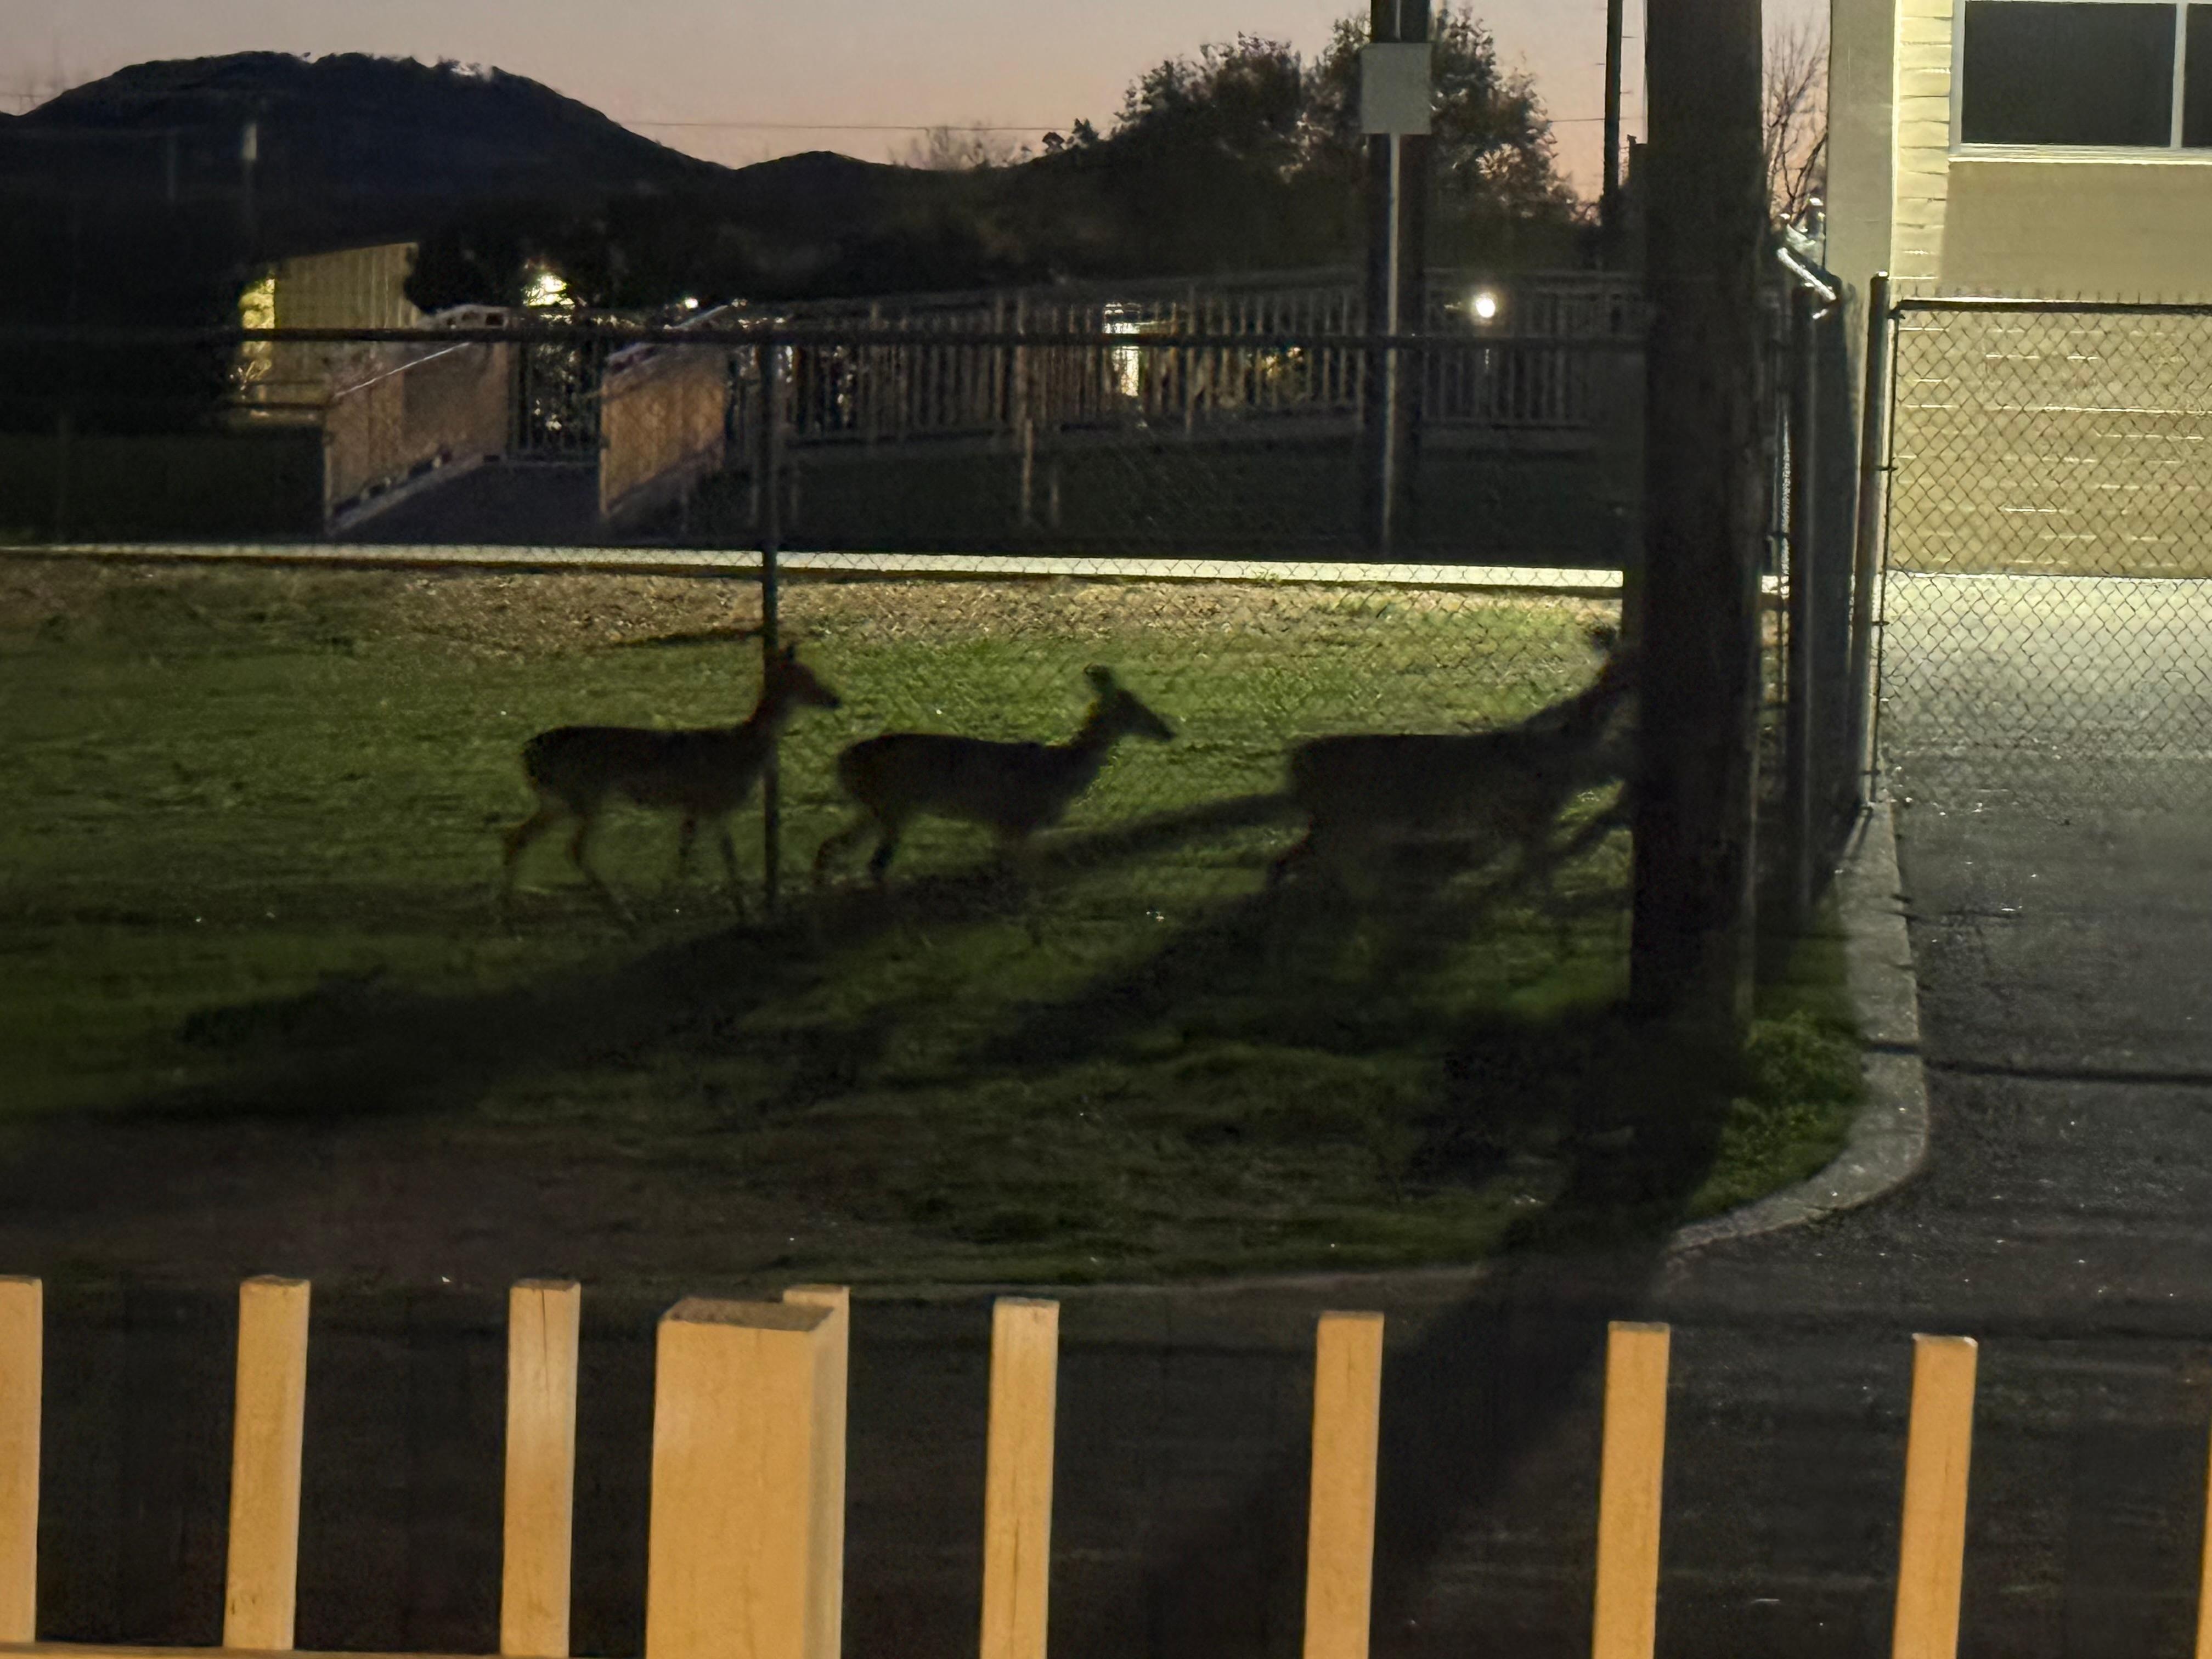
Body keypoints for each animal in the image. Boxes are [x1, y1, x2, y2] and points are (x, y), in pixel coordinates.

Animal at [499, 643, 843, 921]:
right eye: (805, 676)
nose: (835, 699)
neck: (743, 747)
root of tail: (527, 754)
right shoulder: (714, 802)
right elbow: (724, 858)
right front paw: (744, 913)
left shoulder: (695, 807)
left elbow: (686, 855)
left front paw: (672, 901)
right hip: (587, 793)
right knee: (573, 847)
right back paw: (623, 914)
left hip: (559, 799)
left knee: (515, 835)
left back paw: (508, 911)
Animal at [813, 665, 1175, 889]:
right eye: (1136, 708)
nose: (1168, 731)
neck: (1064, 768)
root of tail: (842, 762)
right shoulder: (1015, 823)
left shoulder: (1007, 828)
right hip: (896, 807)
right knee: (875, 863)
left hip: (874, 808)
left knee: (830, 847)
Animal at [1267, 629, 1637, 900]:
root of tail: (1298, 762)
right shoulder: (1532, 815)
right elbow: (1536, 872)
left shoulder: (1515, 820)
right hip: (1344, 825)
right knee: (1299, 863)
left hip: (1341, 827)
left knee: (1297, 862)